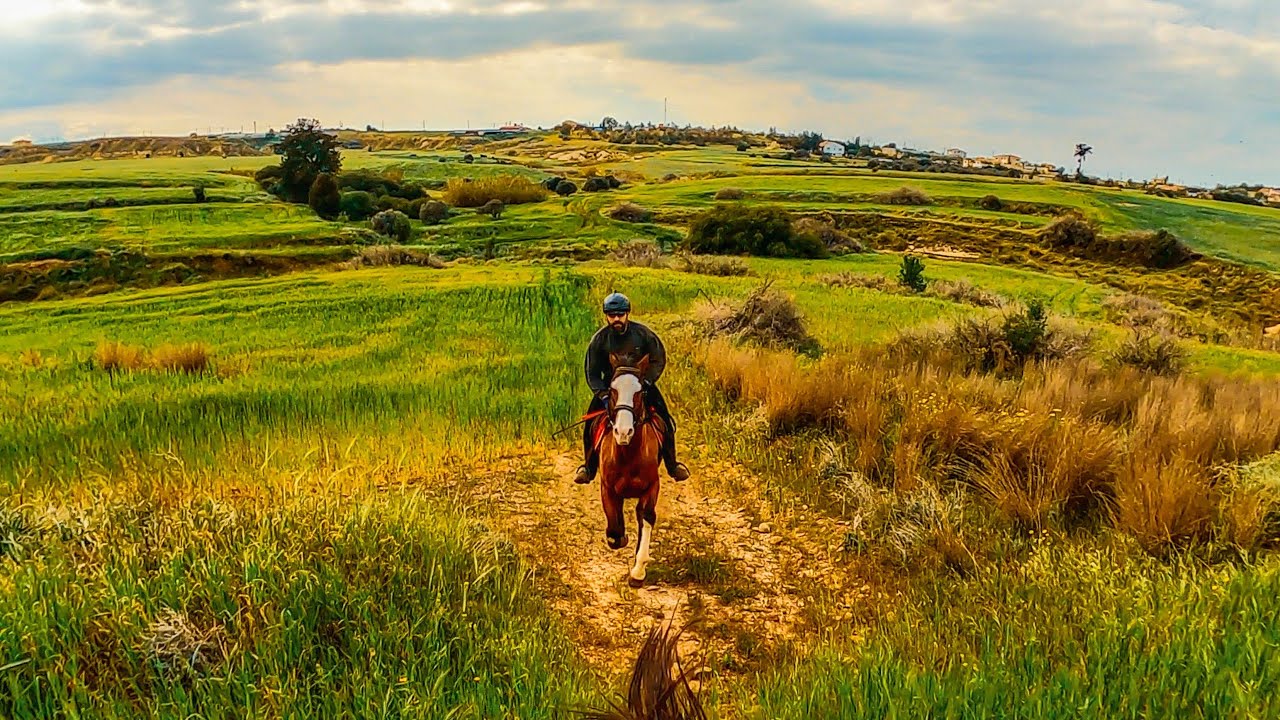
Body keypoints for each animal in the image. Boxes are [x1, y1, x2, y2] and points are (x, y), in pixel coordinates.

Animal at [589, 353, 666, 588]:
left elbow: (646, 517)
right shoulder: (607, 488)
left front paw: (638, 572)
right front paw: (621, 538)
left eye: (640, 392)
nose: (623, 432)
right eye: (612, 390)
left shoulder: (652, 486)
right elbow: (615, 531)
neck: (628, 454)